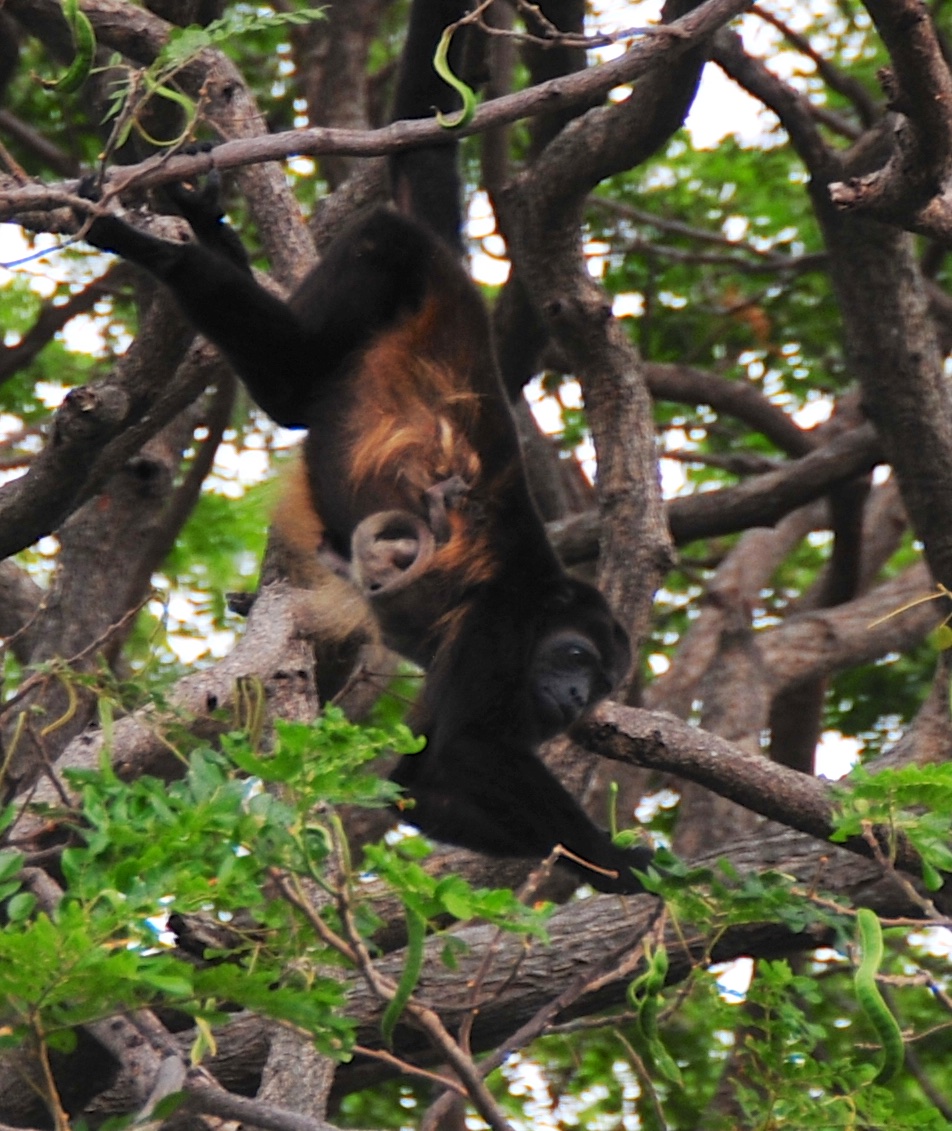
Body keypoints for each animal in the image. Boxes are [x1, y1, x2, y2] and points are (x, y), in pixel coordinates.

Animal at [79, 0, 653, 893]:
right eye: (573, 654)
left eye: (599, 681)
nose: (568, 695)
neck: (542, 604)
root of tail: (455, 276)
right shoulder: (499, 627)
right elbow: (458, 755)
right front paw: (619, 858)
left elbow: (420, 787)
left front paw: (603, 866)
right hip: (392, 266)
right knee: (300, 368)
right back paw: (157, 248)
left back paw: (206, 229)